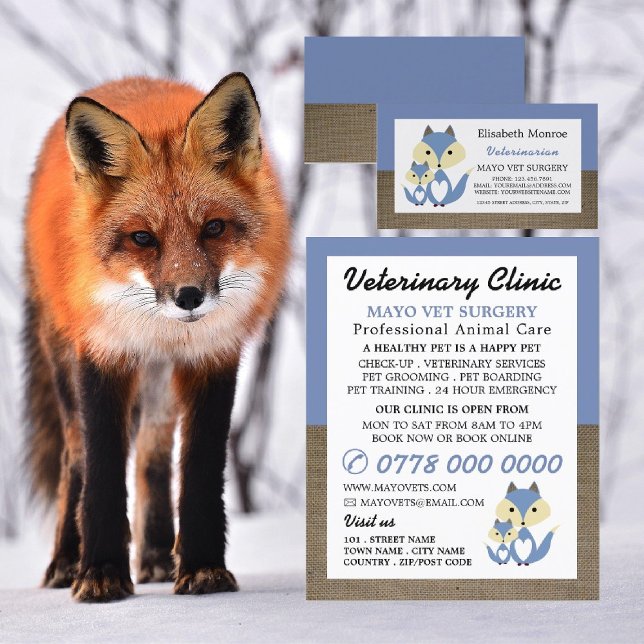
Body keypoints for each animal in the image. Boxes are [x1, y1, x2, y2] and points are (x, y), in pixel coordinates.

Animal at [23, 73, 290, 602]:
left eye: (213, 228)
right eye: (143, 238)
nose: (189, 297)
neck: (164, 330)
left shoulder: (213, 357)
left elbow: (200, 472)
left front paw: (204, 568)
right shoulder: (103, 353)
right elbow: (102, 473)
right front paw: (101, 573)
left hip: (162, 387)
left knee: (153, 456)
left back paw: (156, 557)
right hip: (65, 363)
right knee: (75, 458)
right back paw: (66, 562)